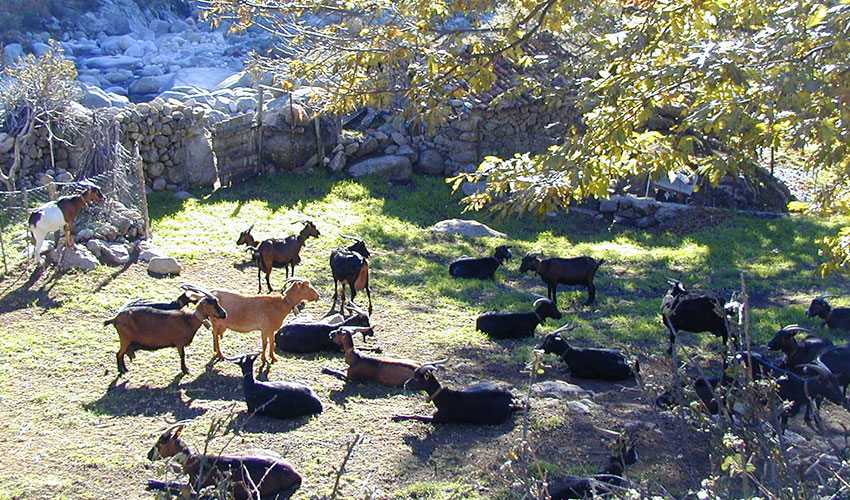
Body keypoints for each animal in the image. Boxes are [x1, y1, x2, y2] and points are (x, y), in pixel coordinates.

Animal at [148, 422, 301, 500]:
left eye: (161, 443)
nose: (149, 455)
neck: (193, 460)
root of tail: (295, 473)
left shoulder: (196, 486)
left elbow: (173, 485)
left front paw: (151, 481)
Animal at [391, 363, 521, 424]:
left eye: (417, 378)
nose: (405, 385)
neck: (444, 398)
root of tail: (511, 398)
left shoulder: (440, 419)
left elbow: (416, 416)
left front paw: (397, 416)